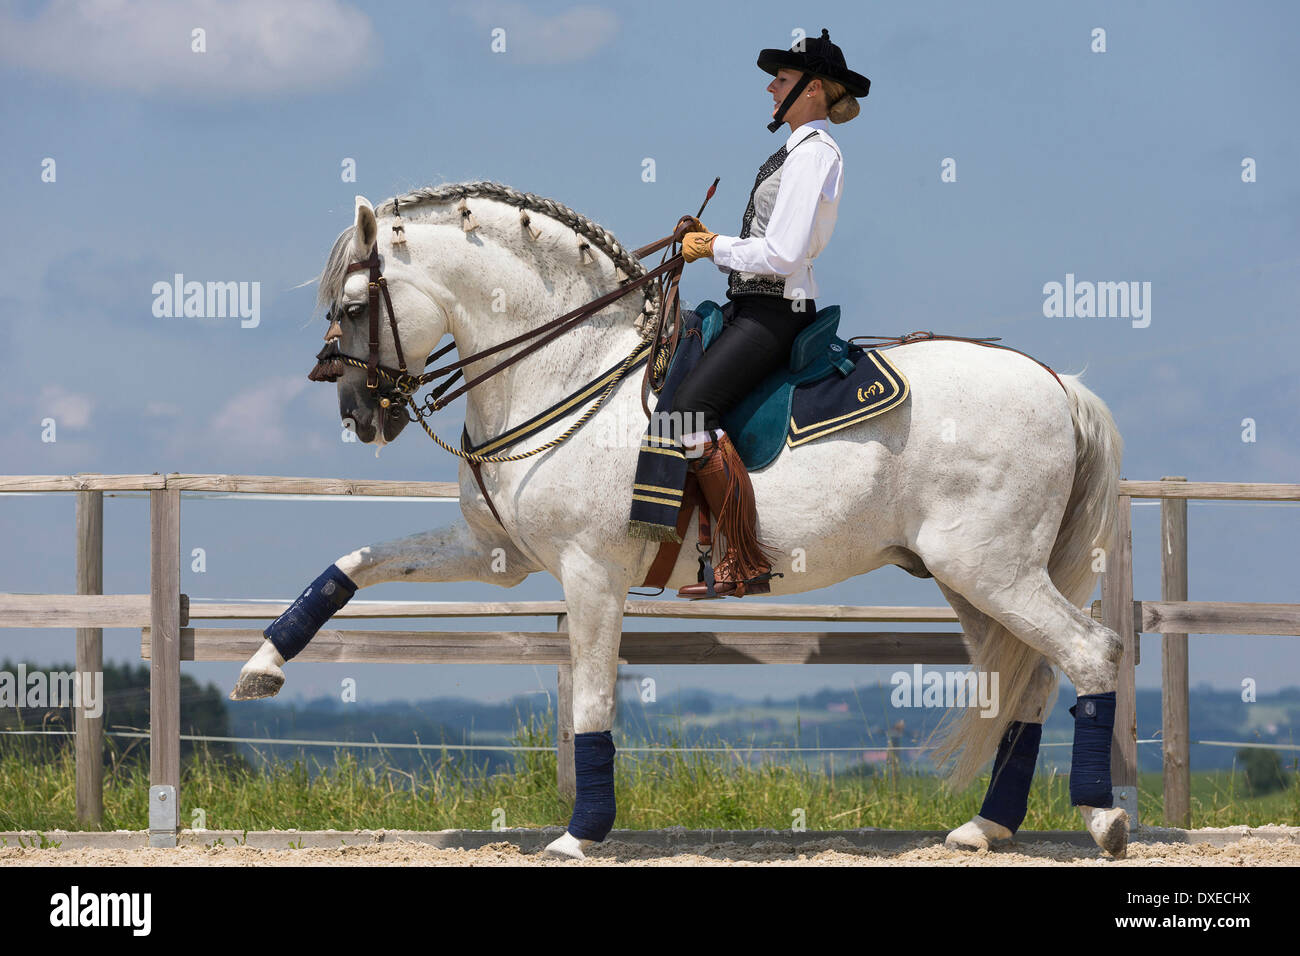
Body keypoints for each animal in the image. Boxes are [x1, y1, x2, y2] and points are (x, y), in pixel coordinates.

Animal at [231, 181, 1130, 858]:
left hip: (991, 568)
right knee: (1029, 678)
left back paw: (1104, 819)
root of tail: (1057, 384)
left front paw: (581, 835)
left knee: (1090, 653)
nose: (357, 413)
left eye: (354, 304)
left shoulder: (592, 573)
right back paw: (986, 827)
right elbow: (357, 561)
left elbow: (593, 702)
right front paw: (264, 666)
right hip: (967, 580)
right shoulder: (495, 552)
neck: (568, 371)